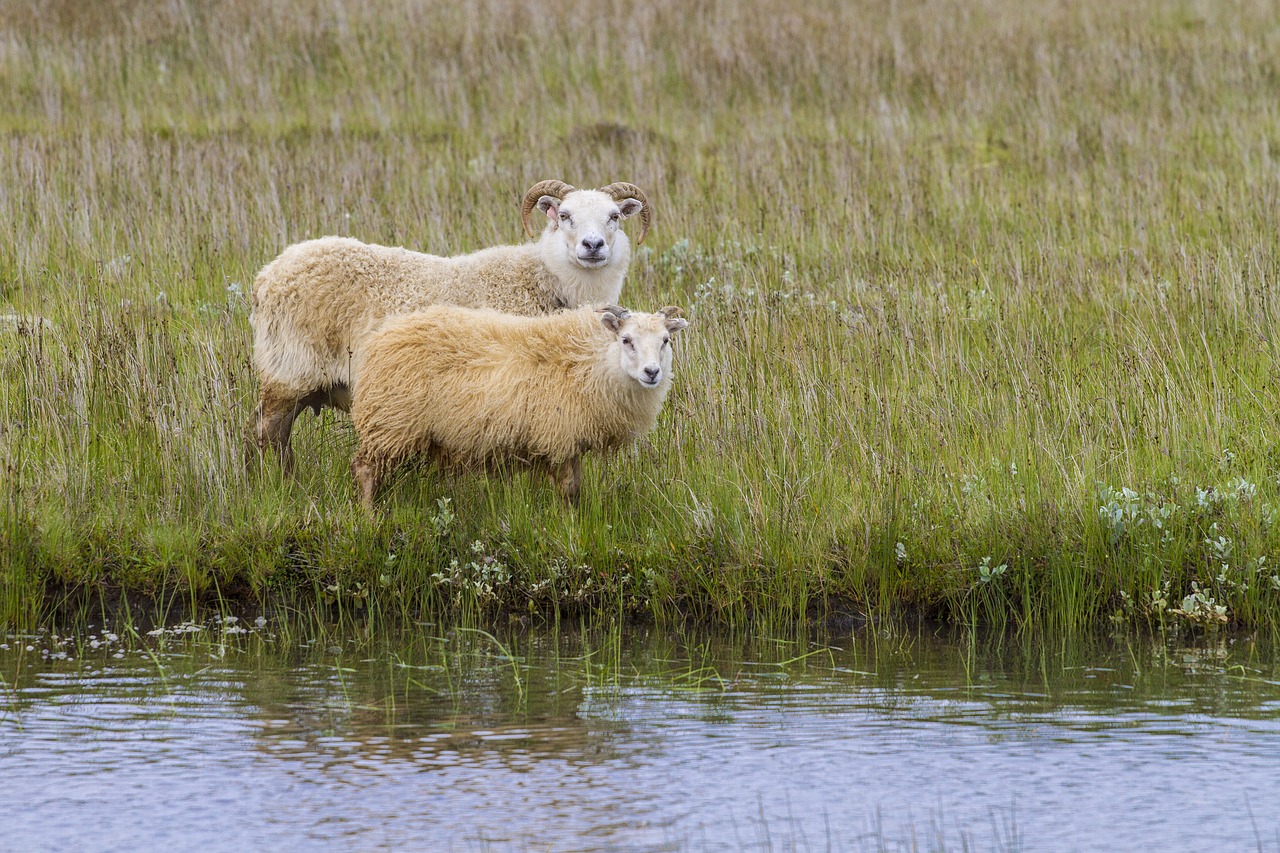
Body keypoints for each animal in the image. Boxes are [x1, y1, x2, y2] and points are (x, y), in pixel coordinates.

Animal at [245, 178, 655, 471]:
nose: (593, 245)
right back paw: (276, 483)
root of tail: (268, 275)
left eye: (614, 216)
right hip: (289, 369)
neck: (544, 281)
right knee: (267, 433)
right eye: (565, 215)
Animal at [348, 302, 691, 507]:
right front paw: (569, 526)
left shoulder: (571, 440)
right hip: (390, 423)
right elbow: (568, 488)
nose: (652, 372)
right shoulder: (559, 437)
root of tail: (381, 337)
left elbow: (576, 488)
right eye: (626, 340)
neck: (590, 363)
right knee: (364, 469)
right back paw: (370, 519)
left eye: (665, 341)